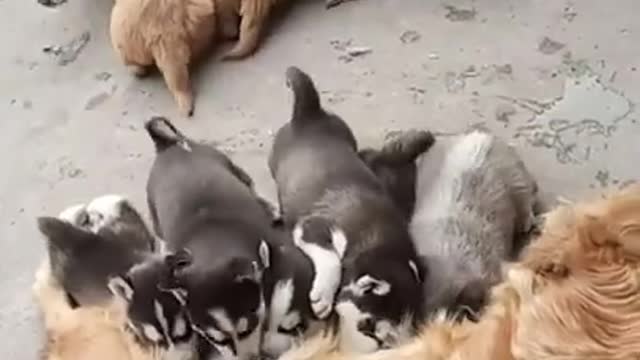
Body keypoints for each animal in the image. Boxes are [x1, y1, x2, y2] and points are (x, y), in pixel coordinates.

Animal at [268, 66, 428, 352]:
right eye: (369, 327)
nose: (382, 348)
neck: (377, 239)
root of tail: (310, 113)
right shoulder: (314, 227)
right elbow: (330, 259)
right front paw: (322, 296)